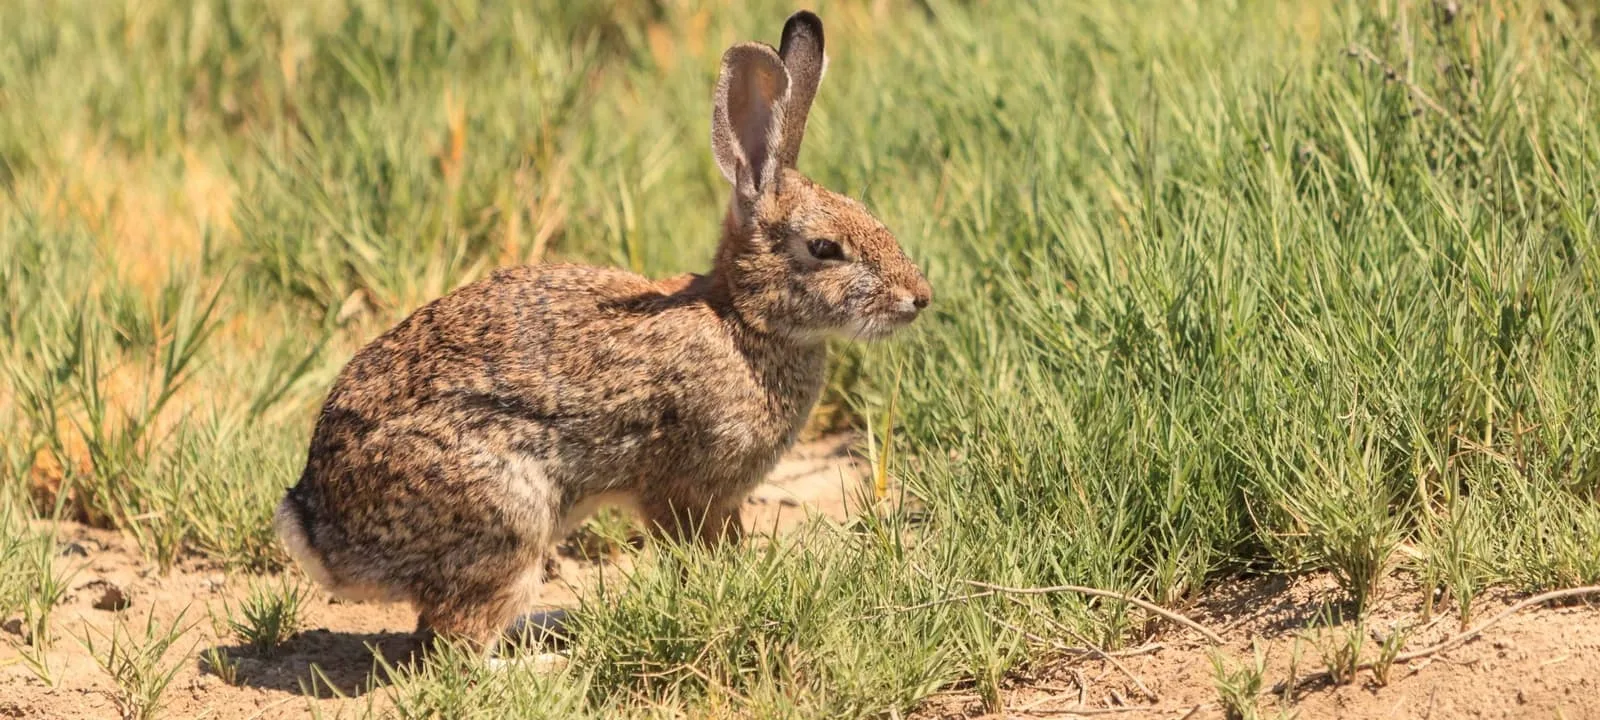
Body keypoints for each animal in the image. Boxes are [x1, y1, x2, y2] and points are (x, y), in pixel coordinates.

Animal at [273, 10, 932, 650]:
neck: (743, 321)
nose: (919, 297)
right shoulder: (684, 489)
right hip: (509, 515)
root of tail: (319, 530)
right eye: (825, 248)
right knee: (454, 638)